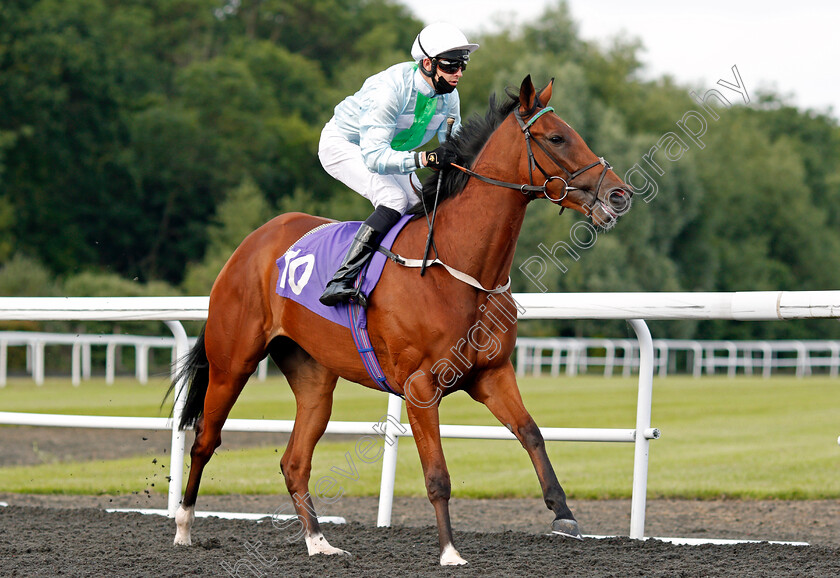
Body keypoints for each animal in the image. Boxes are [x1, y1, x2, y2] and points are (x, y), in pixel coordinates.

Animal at [169, 75, 632, 564]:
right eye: (557, 138)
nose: (619, 194)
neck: (458, 267)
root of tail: (251, 243)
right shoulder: (420, 387)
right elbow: (437, 474)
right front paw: (449, 551)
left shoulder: (492, 373)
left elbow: (531, 432)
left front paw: (563, 513)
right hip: (232, 363)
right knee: (204, 440)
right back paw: (183, 527)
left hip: (314, 379)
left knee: (294, 461)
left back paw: (319, 542)